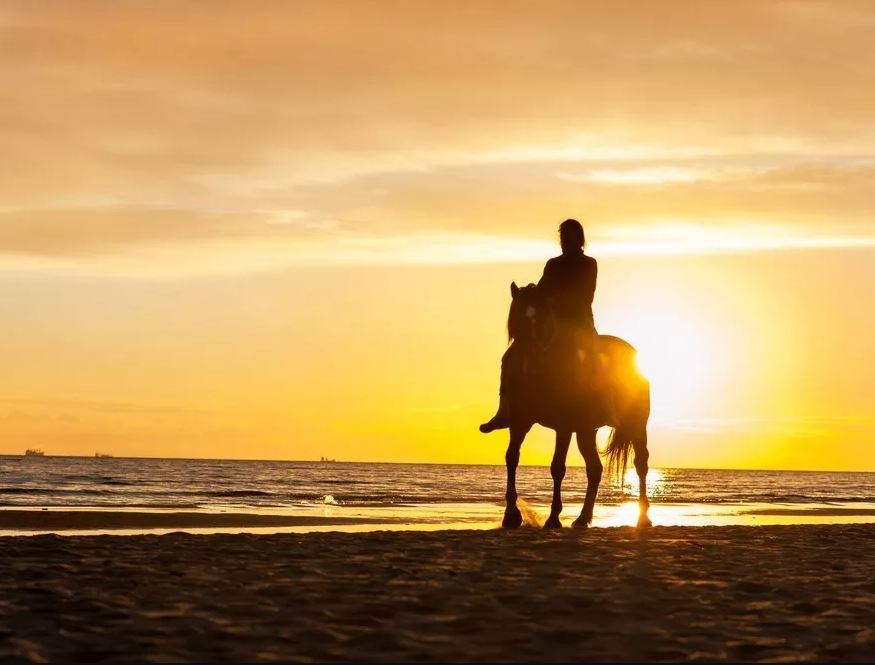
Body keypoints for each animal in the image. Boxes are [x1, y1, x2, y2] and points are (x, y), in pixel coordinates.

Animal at [492, 282, 652, 528]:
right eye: (515, 319)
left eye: (542, 319)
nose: (531, 360)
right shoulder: (520, 422)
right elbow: (511, 458)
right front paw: (511, 515)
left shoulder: (564, 426)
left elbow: (557, 467)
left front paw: (553, 518)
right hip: (586, 430)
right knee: (595, 469)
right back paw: (583, 518)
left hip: (636, 424)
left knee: (641, 463)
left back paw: (643, 517)